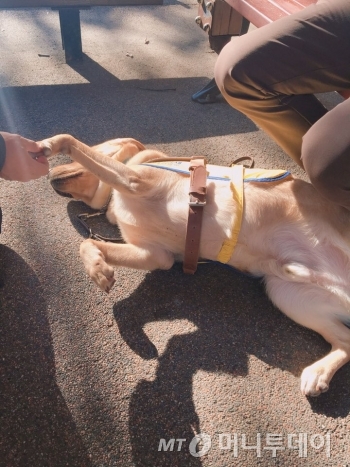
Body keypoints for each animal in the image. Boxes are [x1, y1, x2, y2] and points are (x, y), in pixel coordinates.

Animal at [42, 134, 350, 398]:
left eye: (99, 143)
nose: (49, 175)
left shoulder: (135, 179)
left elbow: (72, 141)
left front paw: (49, 144)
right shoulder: (156, 254)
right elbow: (86, 245)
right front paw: (99, 269)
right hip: (285, 293)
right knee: (346, 340)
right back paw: (319, 373)